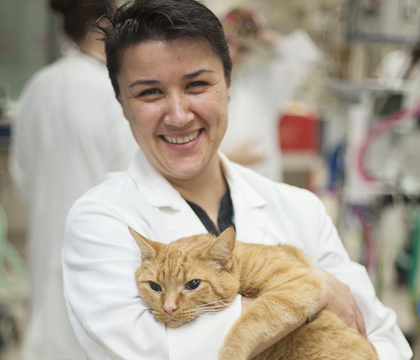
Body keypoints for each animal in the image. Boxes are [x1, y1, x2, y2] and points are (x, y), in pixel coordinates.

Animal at [130, 228, 378, 360]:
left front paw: (230, 353)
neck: (241, 264)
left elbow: (248, 321)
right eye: (155, 287)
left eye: (192, 284)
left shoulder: (297, 282)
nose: (168, 308)